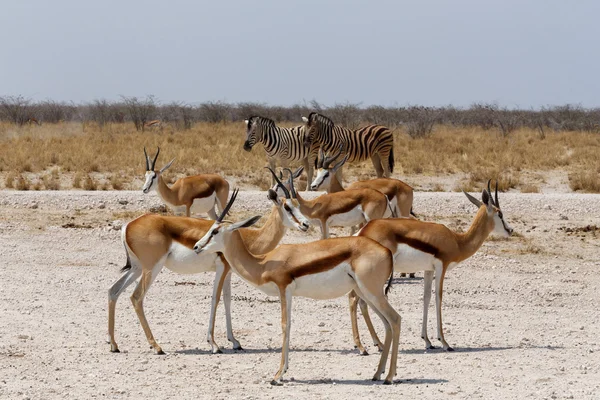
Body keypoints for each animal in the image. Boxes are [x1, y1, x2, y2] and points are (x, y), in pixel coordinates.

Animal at [108, 186, 312, 354]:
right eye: (287, 207)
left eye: (298, 205)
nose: (306, 225)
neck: (245, 237)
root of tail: (128, 225)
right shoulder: (222, 269)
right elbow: (216, 299)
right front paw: (214, 344)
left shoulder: (229, 272)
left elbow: (228, 300)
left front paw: (235, 342)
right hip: (151, 268)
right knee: (136, 297)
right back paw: (156, 346)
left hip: (136, 268)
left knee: (113, 291)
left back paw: (114, 345)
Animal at [192, 192, 398, 386]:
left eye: (214, 231)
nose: (196, 246)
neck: (263, 263)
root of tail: (387, 251)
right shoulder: (287, 293)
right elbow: (288, 325)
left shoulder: (284, 289)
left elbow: (285, 325)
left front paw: (277, 375)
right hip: (366, 294)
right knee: (387, 324)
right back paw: (377, 374)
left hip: (373, 292)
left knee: (395, 319)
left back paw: (388, 377)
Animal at [350, 181, 512, 354]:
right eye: (500, 214)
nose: (510, 230)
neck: (457, 241)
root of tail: (363, 231)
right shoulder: (442, 267)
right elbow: (438, 298)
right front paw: (445, 342)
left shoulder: (428, 270)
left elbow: (426, 297)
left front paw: (427, 341)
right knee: (357, 300)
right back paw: (363, 347)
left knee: (361, 301)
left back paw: (376, 344)